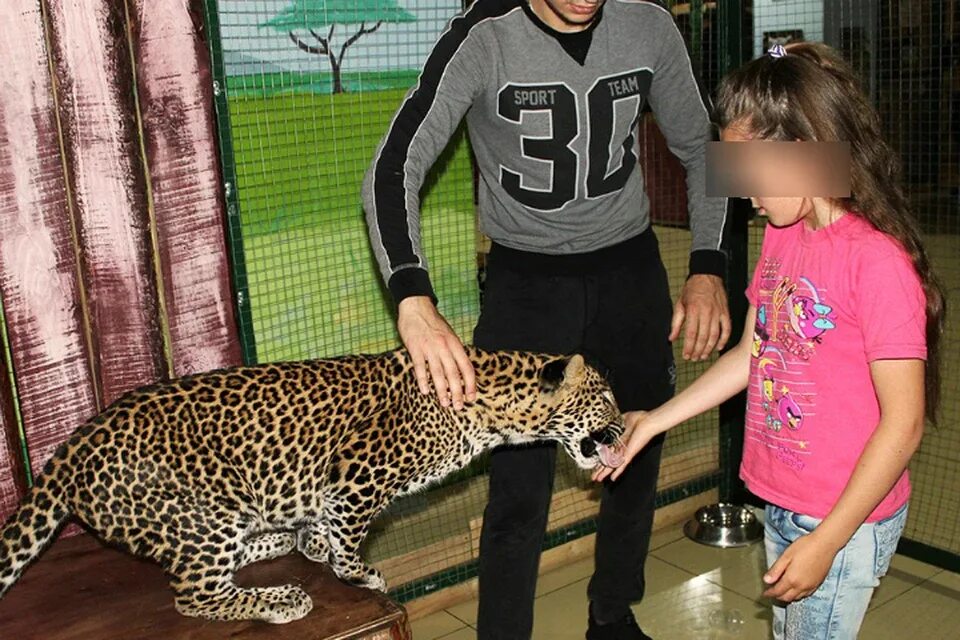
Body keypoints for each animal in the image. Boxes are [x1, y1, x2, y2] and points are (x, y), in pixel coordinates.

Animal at [0, 348, 624, 624]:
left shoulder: (334, 488)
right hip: (205, 516)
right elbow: (350, 538)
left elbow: (326, 525)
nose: (625, 421)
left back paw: (279, 541)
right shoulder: (358, 473)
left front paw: (314, 543)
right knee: (194, 596)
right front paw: (359, 572)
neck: (492, 409)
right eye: (606, 397)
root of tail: (74, 444)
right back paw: (282, 599)